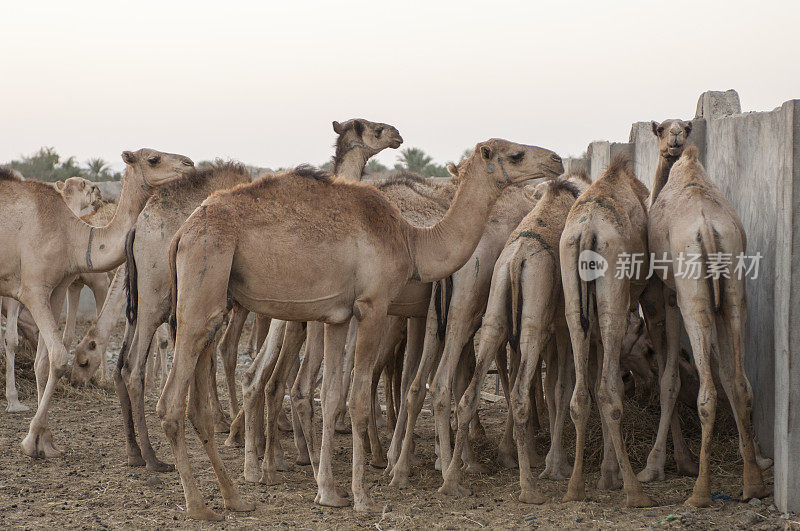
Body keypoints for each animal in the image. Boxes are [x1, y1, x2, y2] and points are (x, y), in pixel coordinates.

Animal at [0, 152, 193, 460]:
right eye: (153, 158)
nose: (189, 164)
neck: (72, 235)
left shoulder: (58, 288)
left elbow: (43, 362)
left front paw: (47, 442)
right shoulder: (33, 289)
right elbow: (58, 356)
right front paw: (30, 442)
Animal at [161, 138, 564, 520]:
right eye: (515, 154)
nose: (557, 161)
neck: (412, 241)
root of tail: (180, 234)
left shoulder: (338, 317)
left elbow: (331, 396)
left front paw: (328, 493)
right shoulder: (373, 306)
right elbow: (357, 398)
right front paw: (363, 497)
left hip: (216, 300)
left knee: (201, 404)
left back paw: (235, 497)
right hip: (204, 279)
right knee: (171, 402)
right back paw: (200, 506)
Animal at [434, 175, 592, 502]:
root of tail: (517, 259)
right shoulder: (558, 326)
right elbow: (558, 385)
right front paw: (553, 464)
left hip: (485, 314)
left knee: (461, 389)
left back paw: (453, 477)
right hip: (531, 322)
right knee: (519, 391)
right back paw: (528, 488)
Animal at [556, 154, 656, 508]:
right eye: (648, 350)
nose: (649, 379)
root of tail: (589, 231)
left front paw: (604, 475)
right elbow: (614, 383)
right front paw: (610, 476)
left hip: (574, 300)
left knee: (582, 395)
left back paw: (574, 488)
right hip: (614, 289)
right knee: (608, 392)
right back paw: (635, 492)